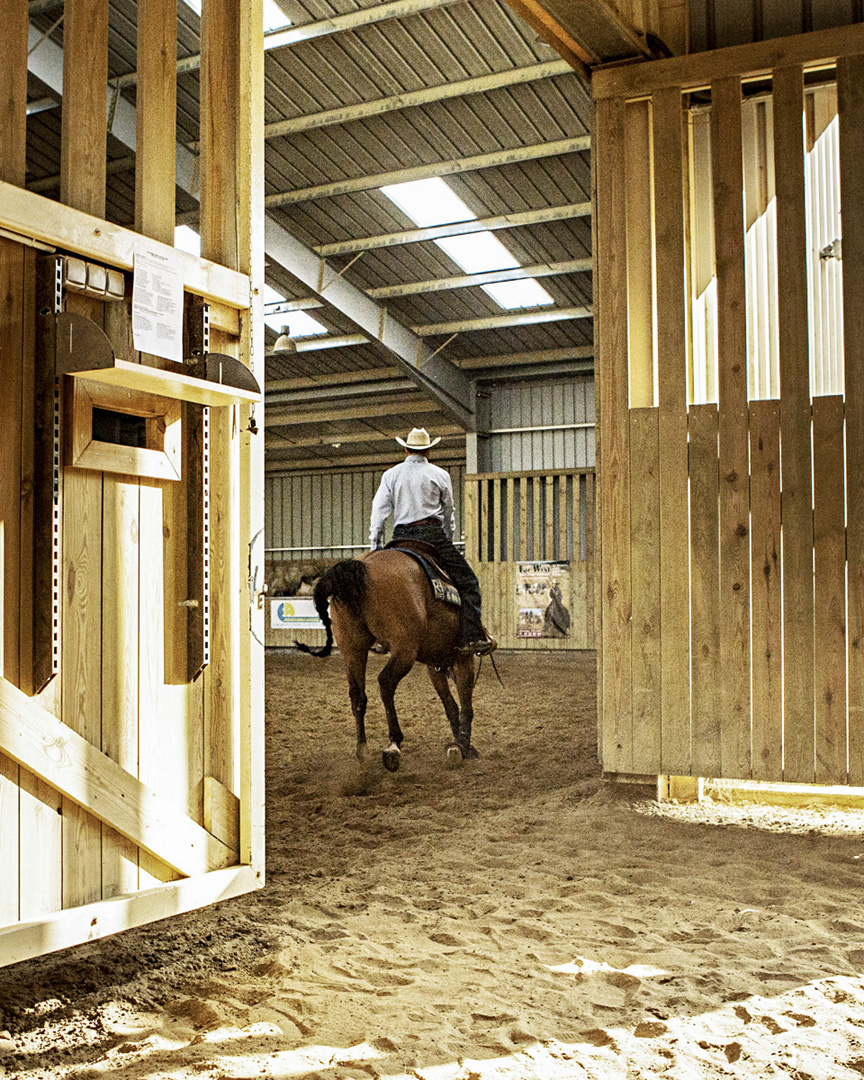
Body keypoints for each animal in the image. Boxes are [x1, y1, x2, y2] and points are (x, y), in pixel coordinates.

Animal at [298, 552, 479, 773]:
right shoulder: (462, 657)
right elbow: (465, 703)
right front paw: (464, 746)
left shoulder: (435, 662)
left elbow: (451, 705)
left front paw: (458, 744)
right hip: (404, 651)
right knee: (385, 682)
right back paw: (393, 745)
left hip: (353, 648)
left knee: (358, 695)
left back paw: (363, 752)